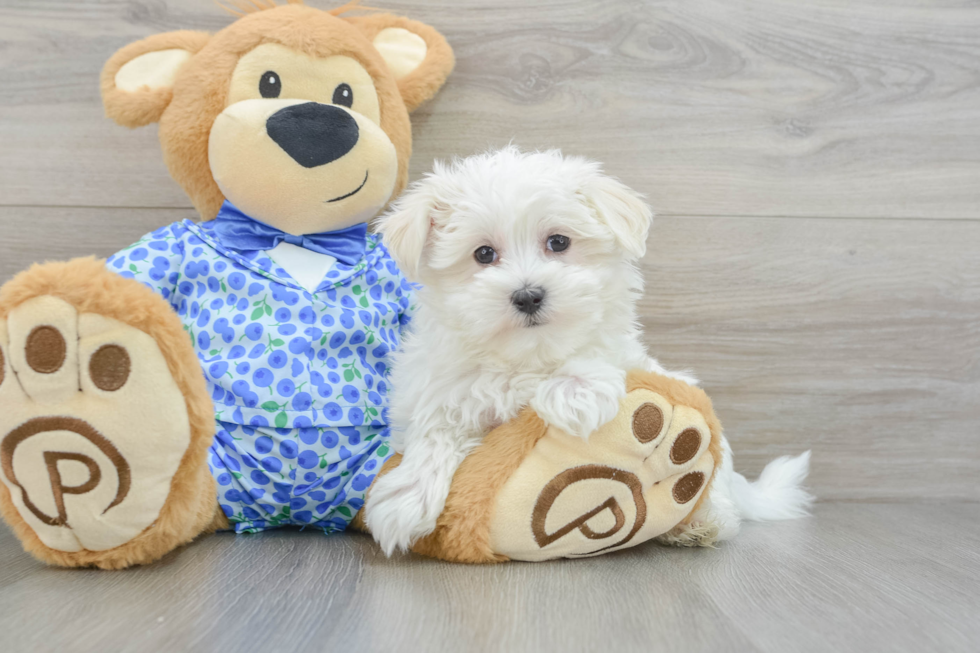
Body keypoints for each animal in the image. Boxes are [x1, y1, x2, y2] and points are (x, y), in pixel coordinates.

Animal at [368, 148, 812, 556]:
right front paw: (406, 497)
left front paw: (576, 391)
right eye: (483, 254)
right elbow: (436, 429)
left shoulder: (624, 353)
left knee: (716, 491)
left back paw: (699, 524)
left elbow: (597, 351)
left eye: (559, 242)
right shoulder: (439, 388)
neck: (527, 358)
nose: (528, 296)